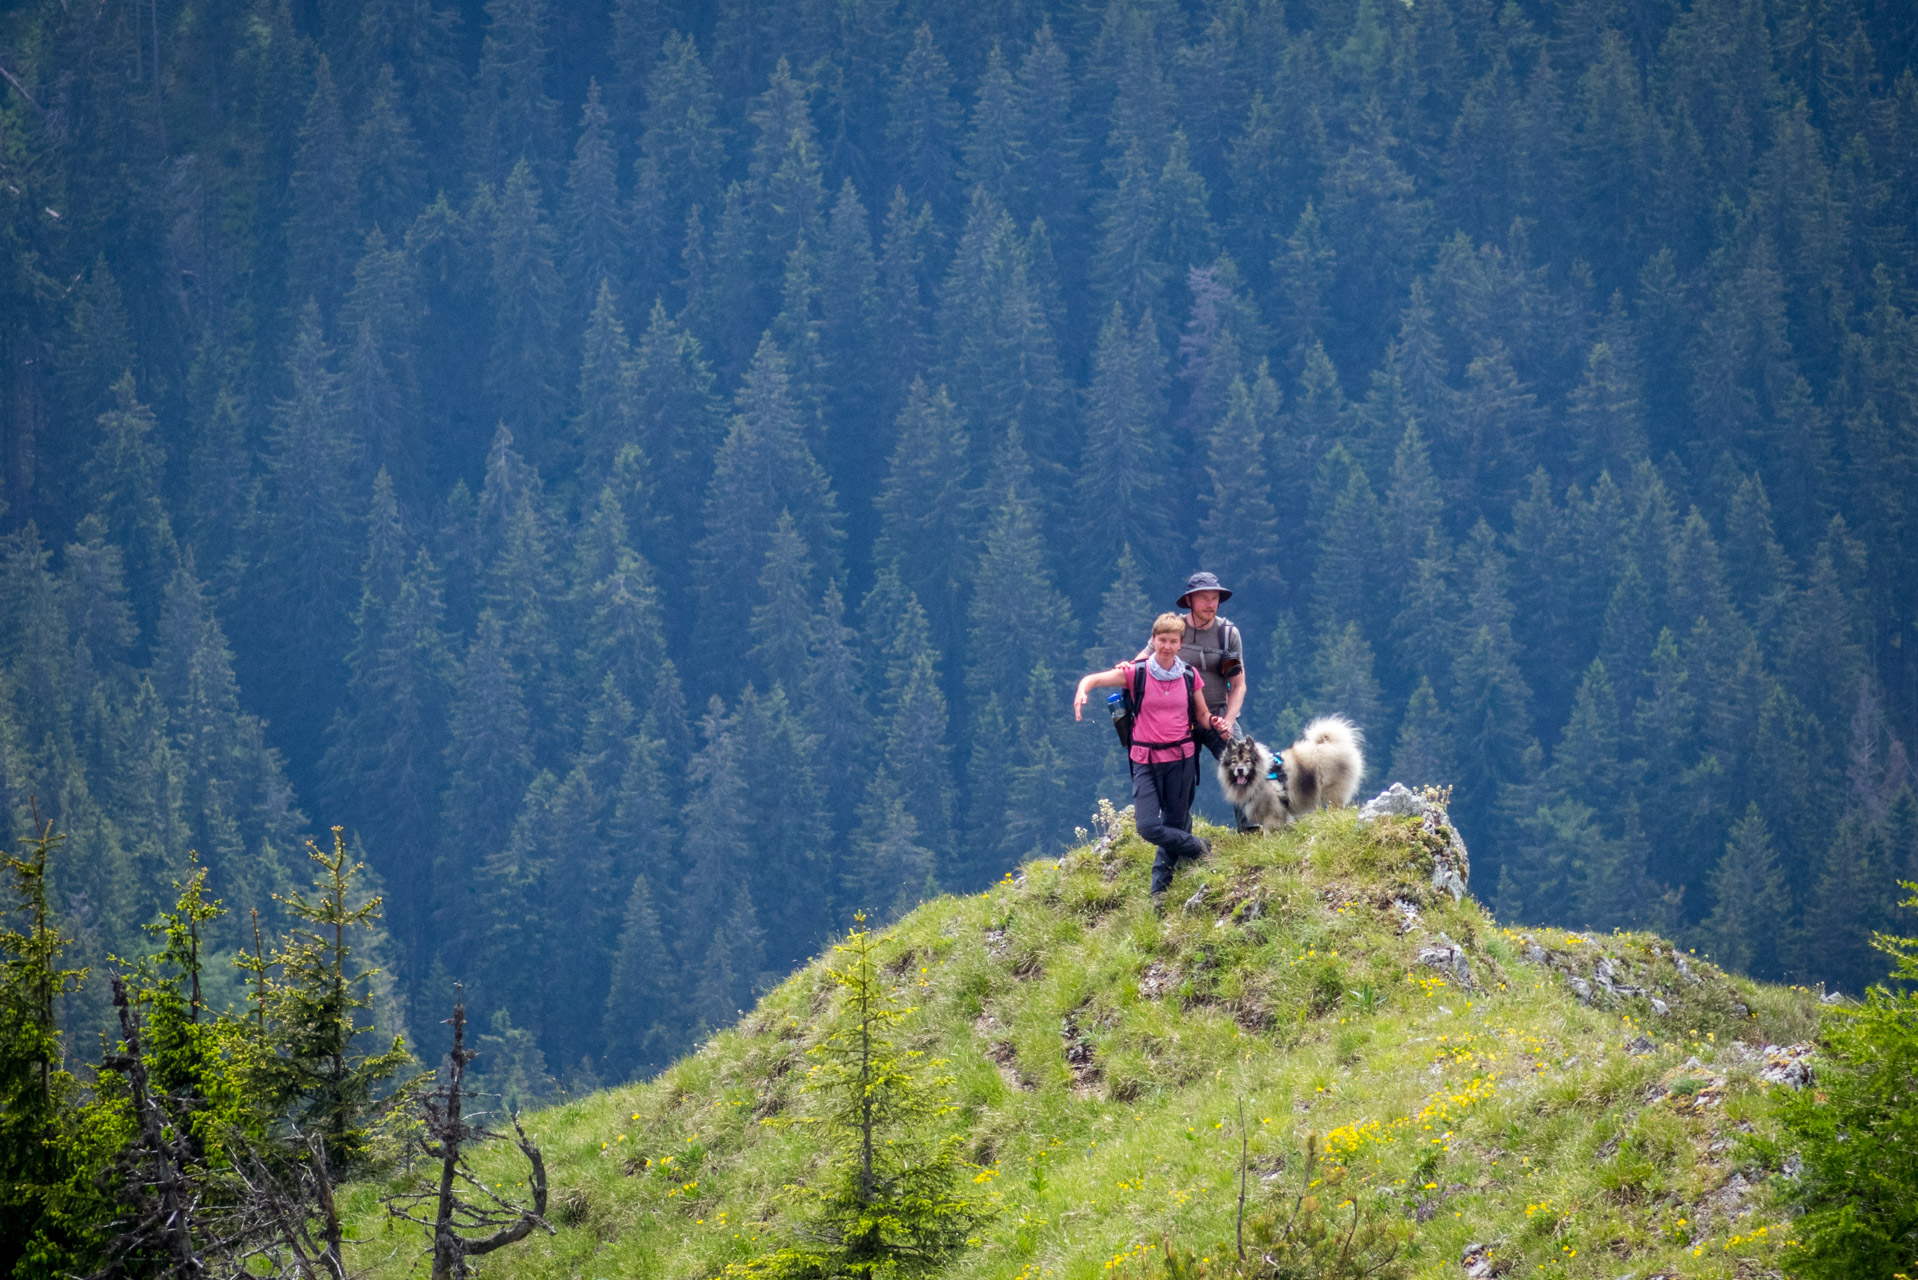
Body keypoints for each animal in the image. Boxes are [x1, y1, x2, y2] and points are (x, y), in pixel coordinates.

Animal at [1212, 710, 1365, 832]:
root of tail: (1332, 743)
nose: (1240, 769)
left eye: (1247, 761)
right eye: (1234, 761)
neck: (1260, 776)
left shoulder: (1271, 815)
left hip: (1332, 793)